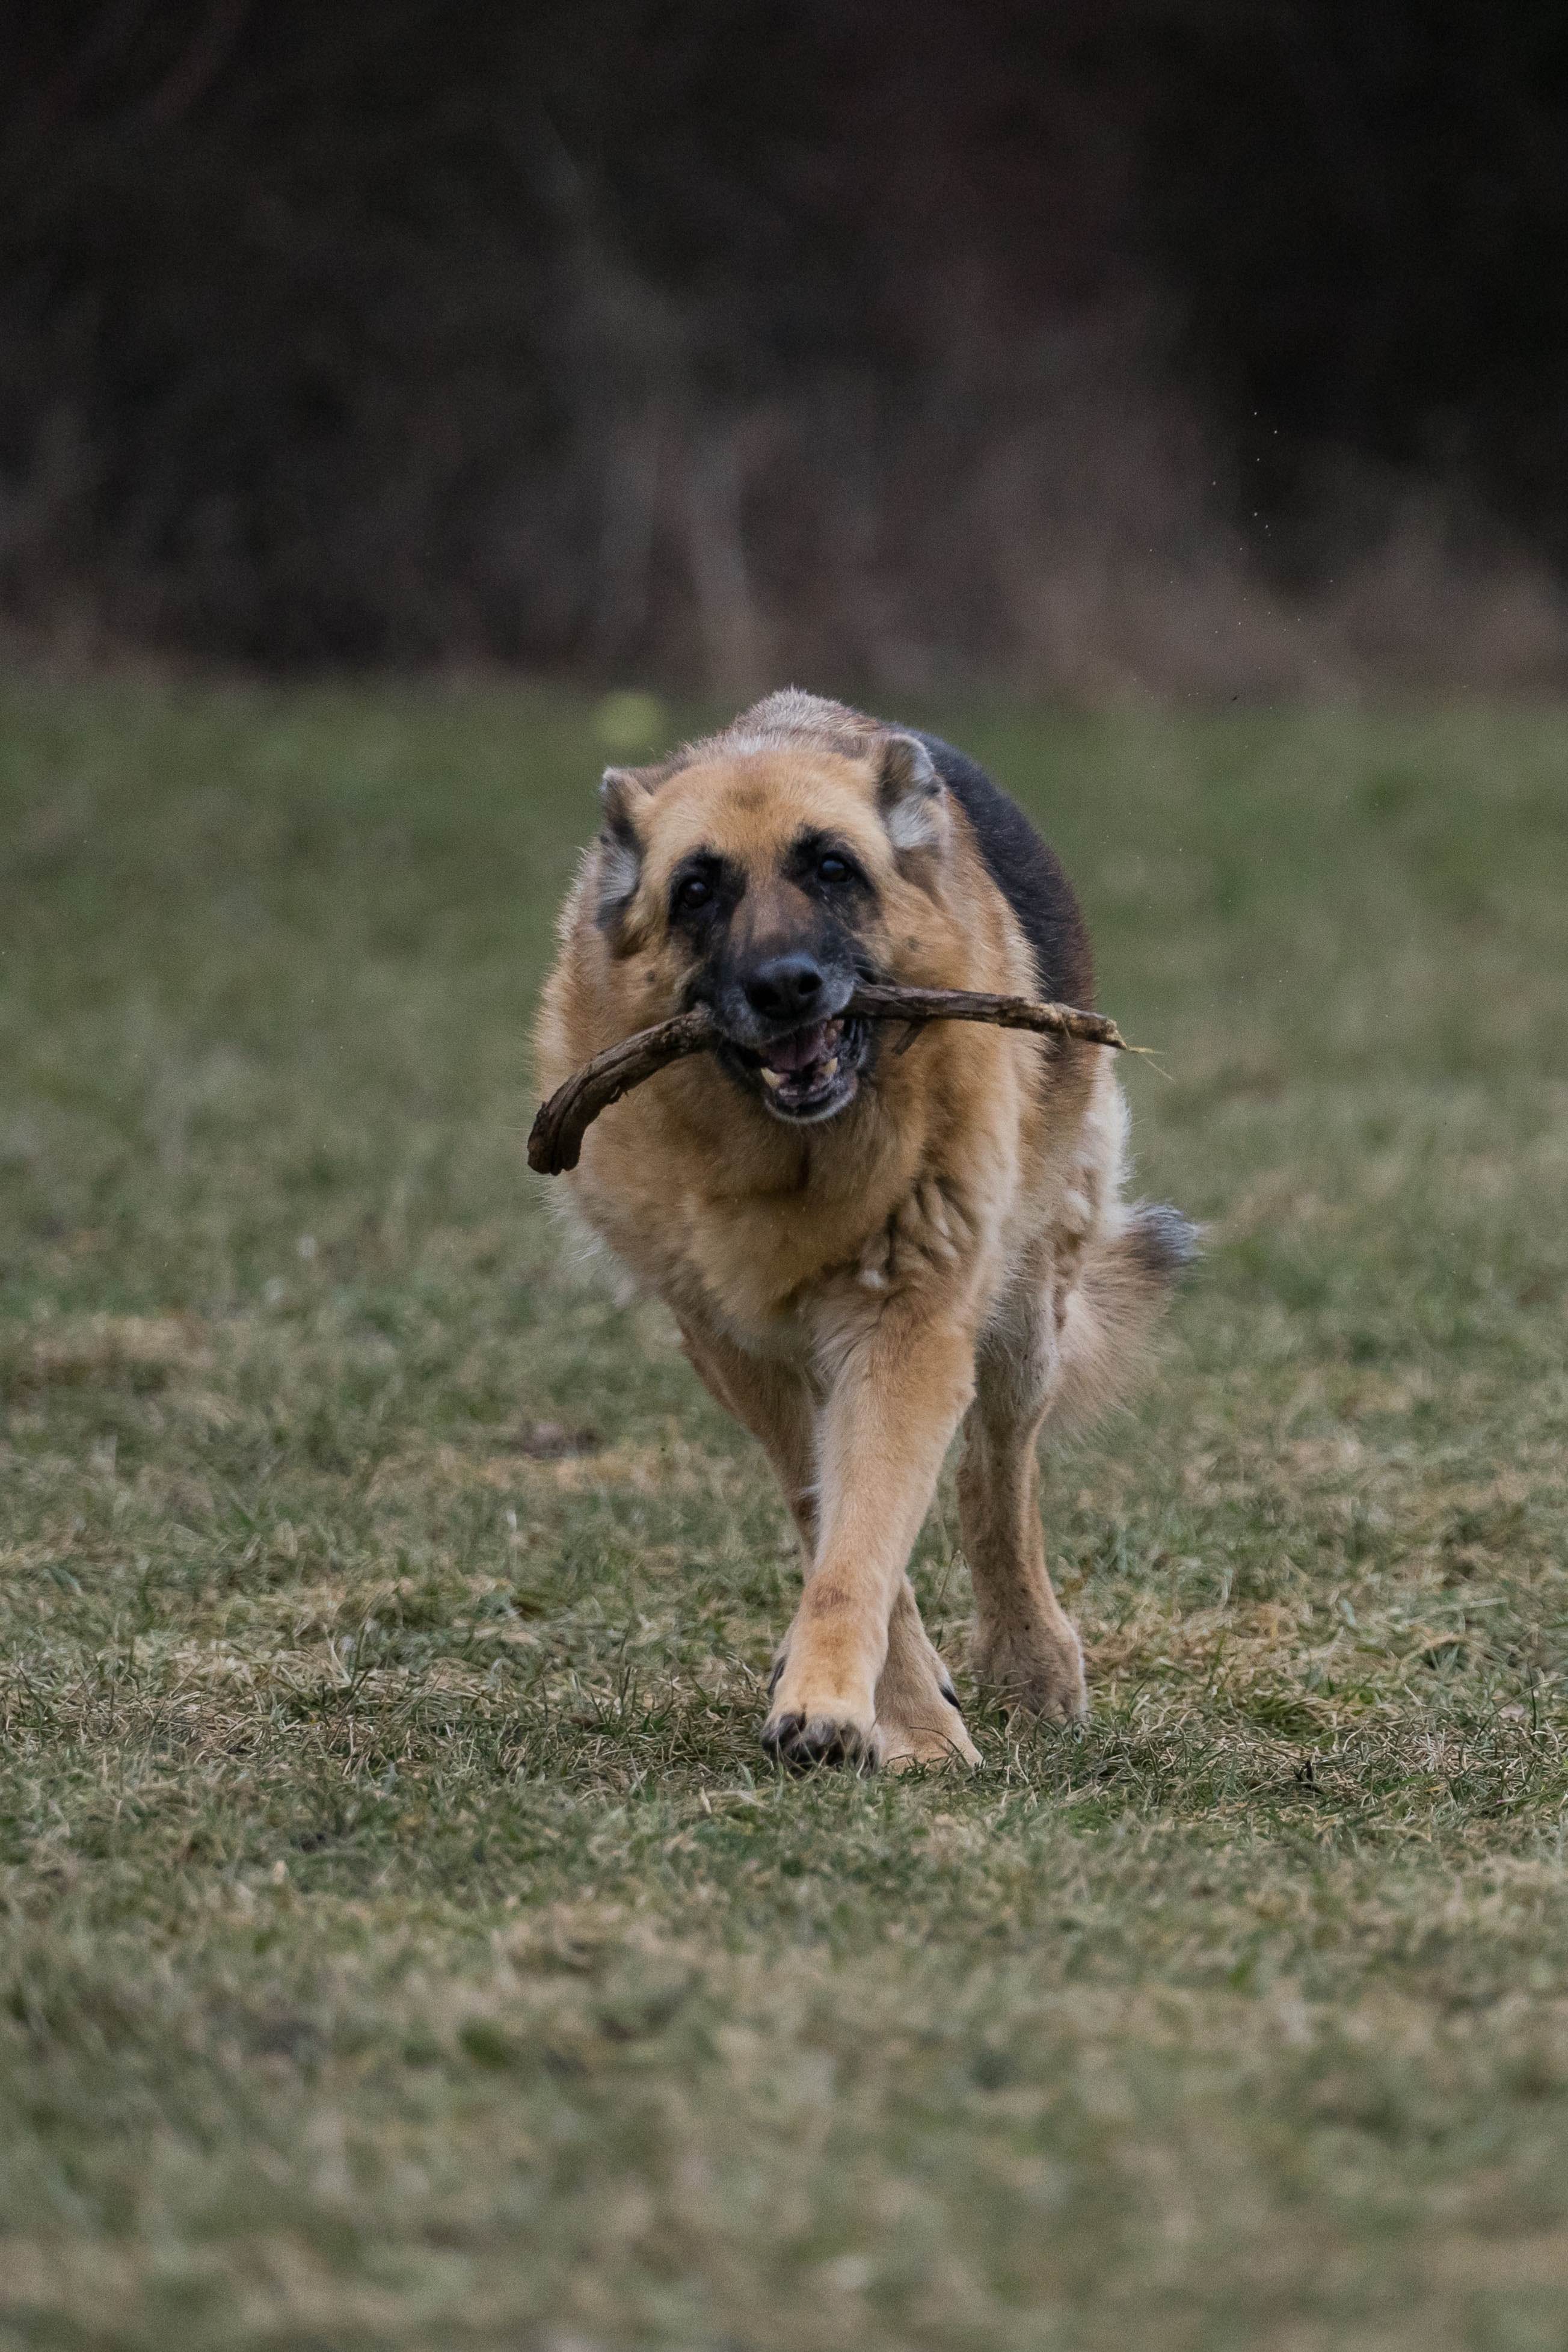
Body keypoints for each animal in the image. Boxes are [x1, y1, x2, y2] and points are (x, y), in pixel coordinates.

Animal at [533, 691, 1194, 1769]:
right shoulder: (738, 1350)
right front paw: (901, 1713)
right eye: (696, 890)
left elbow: (867, 1537)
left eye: (832, 868)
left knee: (996, 1476)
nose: (785, 986)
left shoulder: (905, 1328)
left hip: (1023, 1316)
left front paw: (864, 1711)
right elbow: (829, 1518)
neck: (797, 1155)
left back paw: (1029, 1658)